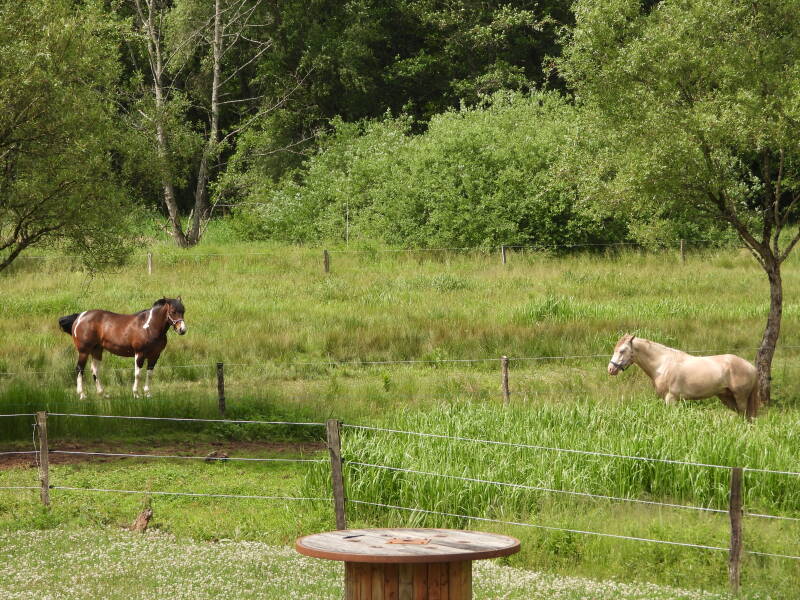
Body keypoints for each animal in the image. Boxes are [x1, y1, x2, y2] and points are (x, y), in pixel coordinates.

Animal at [58, 298, 186, 399]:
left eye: (183, 311)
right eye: (173, 311)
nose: (182, 330)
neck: (149, 327)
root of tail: (80, 316)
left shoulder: (154, 356)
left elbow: (149, 374)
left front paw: (148, 393)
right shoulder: (139, 354)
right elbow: (137, 374)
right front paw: (136, 394)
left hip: (97, 350)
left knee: (95, 370)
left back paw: (102, 394)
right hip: (84, 351)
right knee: (79, 369)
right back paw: (82, 394)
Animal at [607, 334, 759, 415]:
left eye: (622, 350)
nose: (610, 369)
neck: (662, 364)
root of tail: (752, 367)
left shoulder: (671, 399)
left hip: (740, 398)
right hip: (727, 397)